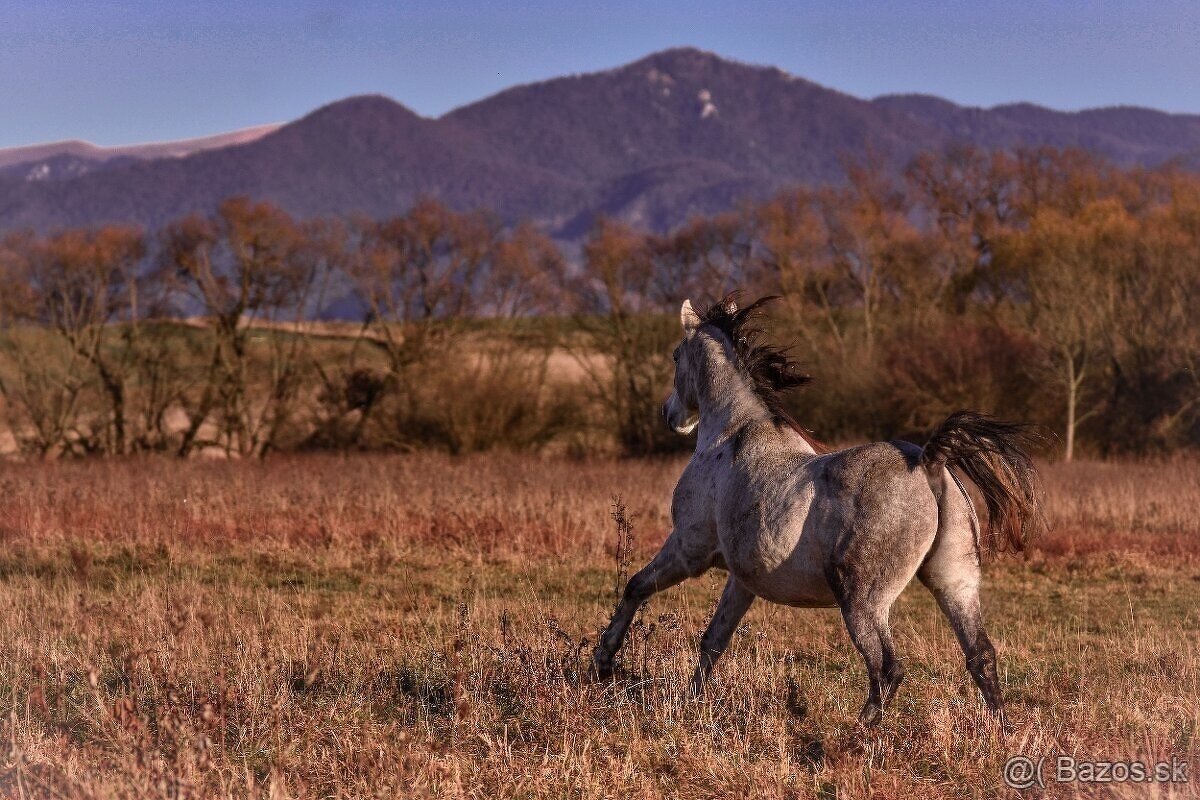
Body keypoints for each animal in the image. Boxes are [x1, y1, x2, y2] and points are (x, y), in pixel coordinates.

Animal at [590, 296, 1041, 734]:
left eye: (674, 356)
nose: (670, 417)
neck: (730, 436)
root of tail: (928, 463)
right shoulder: (742, 579)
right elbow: (714, 639)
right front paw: (690, 701)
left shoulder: (689, 549)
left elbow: (636, 586)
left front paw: (603, 663)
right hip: (954, 582)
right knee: (981, 655)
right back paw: (1001, 733)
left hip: (862, 599)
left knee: (887, 668)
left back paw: (854, 735)